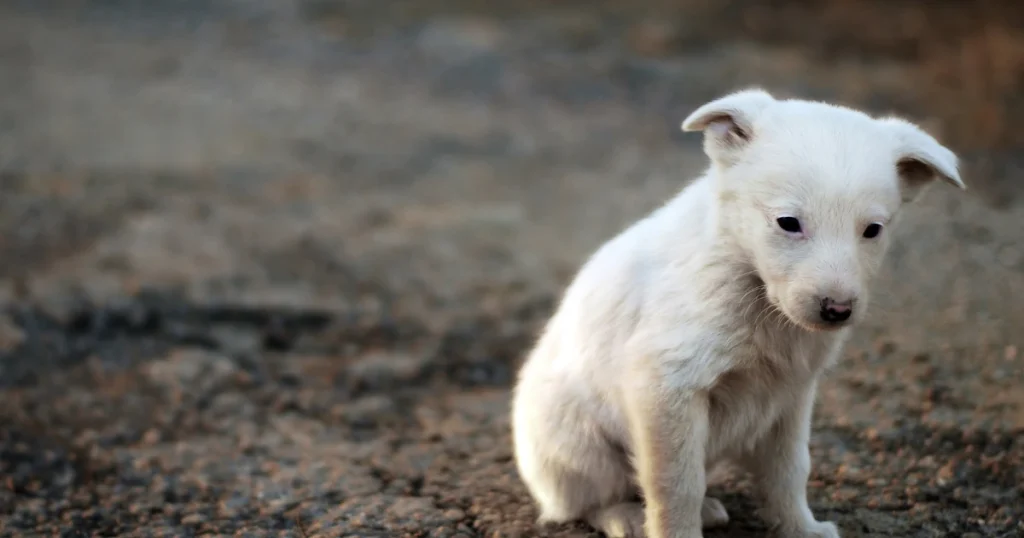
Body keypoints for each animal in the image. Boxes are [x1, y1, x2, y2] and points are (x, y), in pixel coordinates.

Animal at [512, 89, 966, 536]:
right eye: (788, 222)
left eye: (873, 230)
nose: (837, 310)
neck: (751, 284)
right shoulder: (667, 387)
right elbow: (676, 485)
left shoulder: (791, 397)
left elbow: (789, 472)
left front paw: (802, 528)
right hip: (579, 445)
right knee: (584, 502)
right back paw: (624, 516)